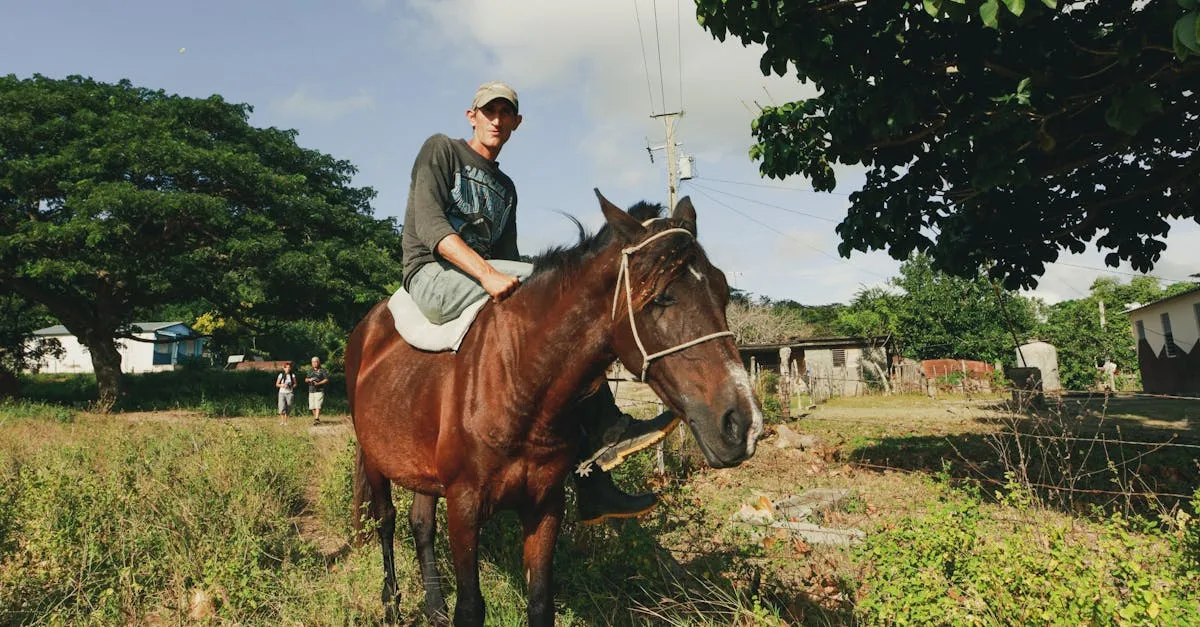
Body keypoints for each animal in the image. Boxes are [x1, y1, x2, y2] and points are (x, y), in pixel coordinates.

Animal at [344, 190, 763, 626]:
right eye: (661, 297)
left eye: (723, 291)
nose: (743, 424)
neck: (516, 375)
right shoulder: (464, 507)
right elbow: (471, 608)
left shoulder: (545, 505)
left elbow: (541, 602)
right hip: (375, 460)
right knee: (386, 521)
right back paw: (391, 605)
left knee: (421, 523)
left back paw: (434, 607)